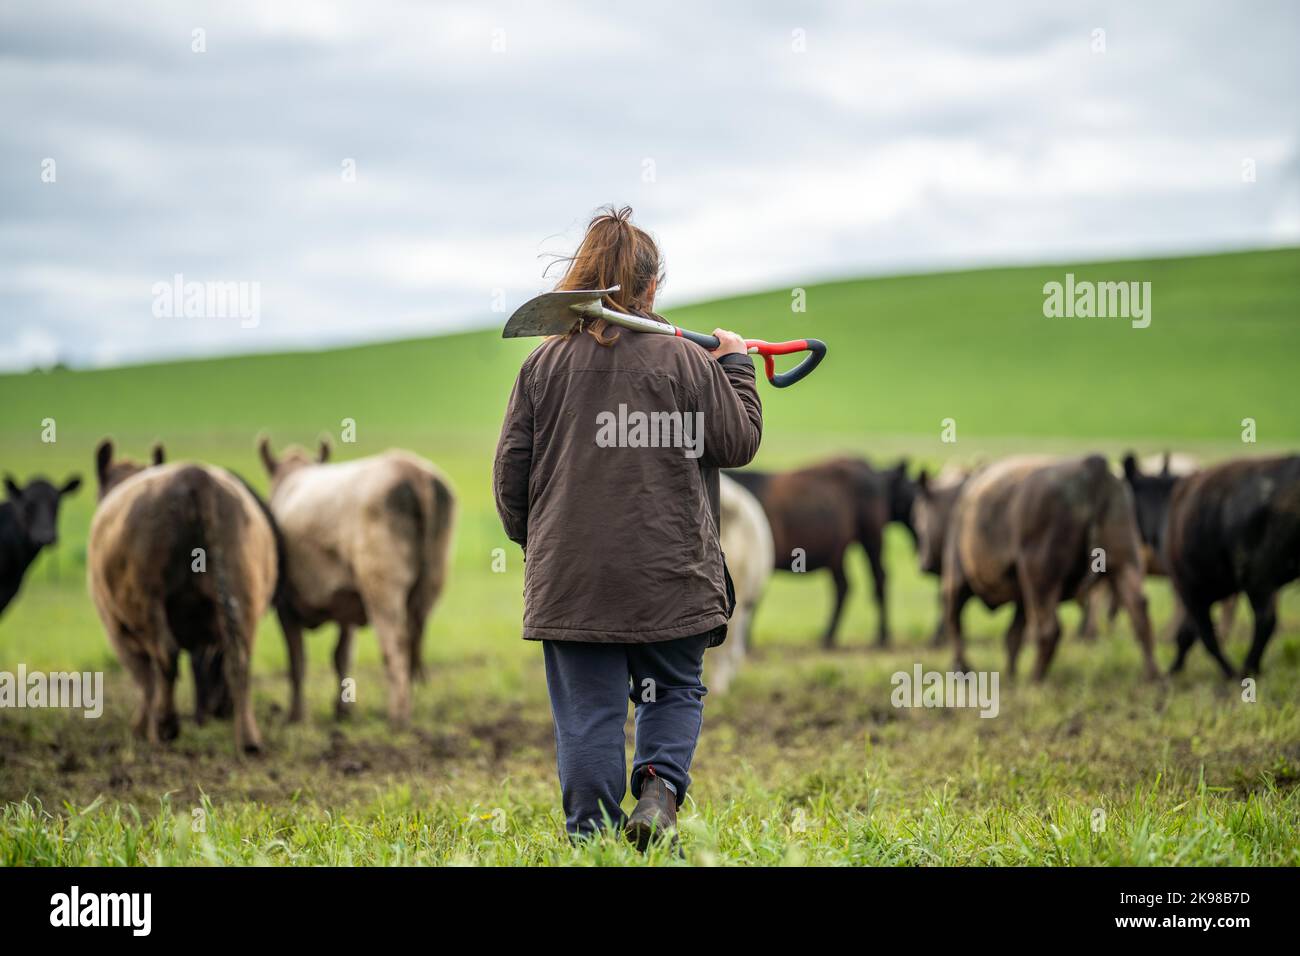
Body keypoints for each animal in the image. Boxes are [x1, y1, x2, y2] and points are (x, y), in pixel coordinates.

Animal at [87, 442, 275, 754]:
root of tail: (195, 476)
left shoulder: (117, 629)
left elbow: (145, 679)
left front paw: (141, 726)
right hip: (241, 597)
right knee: (239, 662)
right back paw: (248, 738)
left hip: (146, 602)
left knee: (165, 655)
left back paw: (165, 725)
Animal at [256, 437, 454, 723]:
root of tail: (411, 470)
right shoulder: (347, 602)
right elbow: (342, 656)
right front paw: (343, 710)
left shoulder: (285, 605)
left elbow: (297, 662)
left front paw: (296, 715)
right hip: (430, 585)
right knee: (413, 642)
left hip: (382, 589)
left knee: (396, 646)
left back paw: (398, 715)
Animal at [935, 455, 1159, 681]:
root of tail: (1092, 466)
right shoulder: (1021, 595)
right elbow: (1013, 635)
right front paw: (1009, 674)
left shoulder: (957, 577)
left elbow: (958, 623)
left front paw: (964, 668)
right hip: (1125, 562)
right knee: (1140, 614)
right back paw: (1153, 677)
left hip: (1040, 578)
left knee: (1049, 629)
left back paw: (1035, 677)